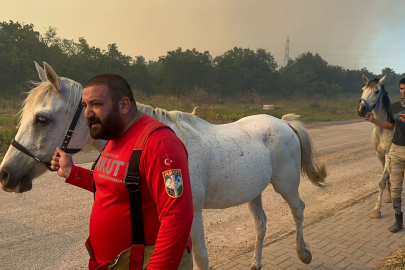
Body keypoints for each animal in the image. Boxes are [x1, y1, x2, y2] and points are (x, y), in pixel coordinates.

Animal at [0, 62, 326, 268]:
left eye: (41, 119)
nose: (5, 175)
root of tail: (284, 122)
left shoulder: (192, 214)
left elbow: (200, 259)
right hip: (254, 192)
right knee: (260, 225)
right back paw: (256, 264)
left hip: (286, 186)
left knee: (298, 210)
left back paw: (304, 253)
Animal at [356, 75, 392, 218]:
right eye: (362, 89)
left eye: (377, 91)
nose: (361, 109)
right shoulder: (380, 155)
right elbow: (386, 178)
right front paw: (388, 198)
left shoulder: (389, 155)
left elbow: (382, 181)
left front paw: (377, 210)